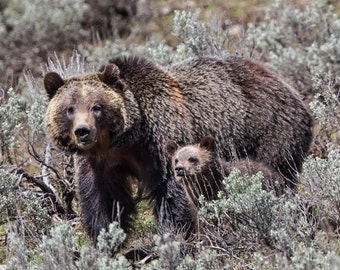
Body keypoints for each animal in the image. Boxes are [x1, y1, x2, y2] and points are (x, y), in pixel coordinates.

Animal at [43, 56, 314, 242]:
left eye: (96, 106)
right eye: (70, 108)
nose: (83, 131)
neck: (126, 139)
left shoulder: (162, 139)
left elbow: (171, 192)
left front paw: (174, 235)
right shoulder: (100, 162)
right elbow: (102, 200)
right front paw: (106, 241)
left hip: (271, 132)